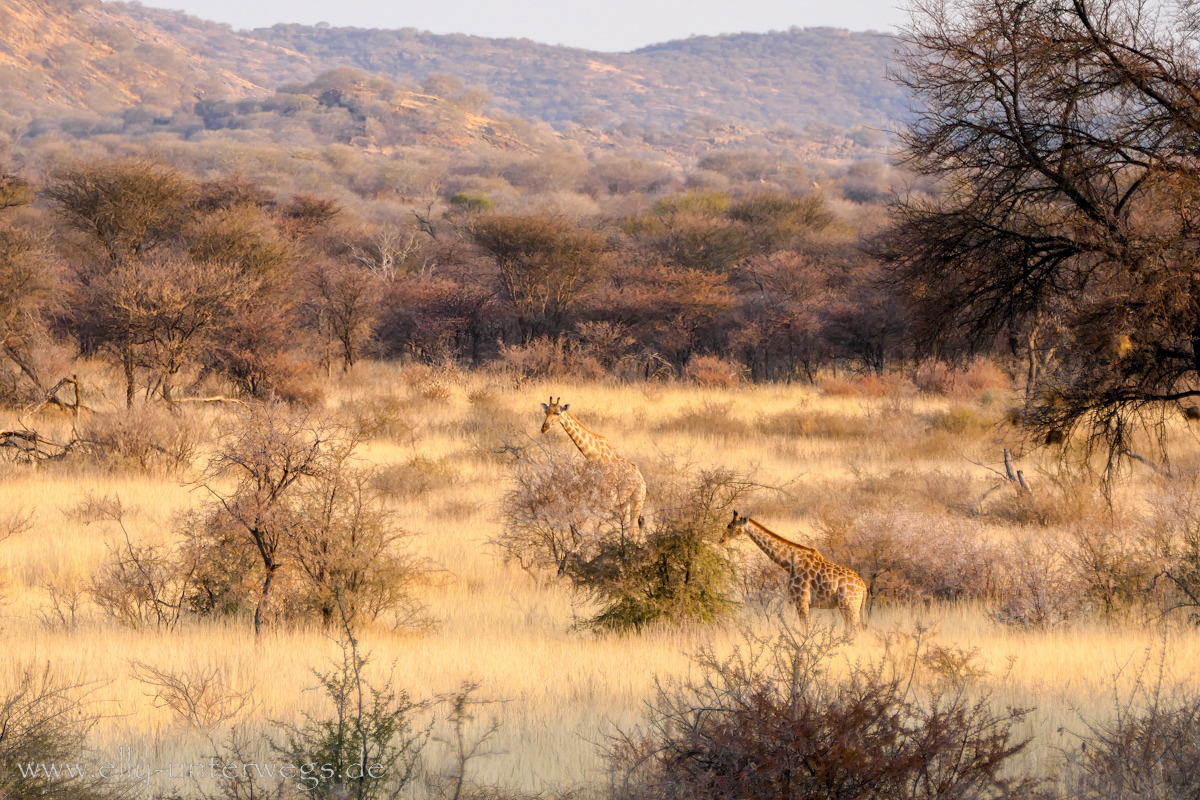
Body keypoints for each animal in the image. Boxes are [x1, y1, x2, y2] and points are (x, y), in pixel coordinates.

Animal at [542, 393, 648, 532]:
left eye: (558, 413)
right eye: (545, 412)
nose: (544, 428)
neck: (595, 456)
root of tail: (642, 479)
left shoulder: (608, 499)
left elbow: (598, 525)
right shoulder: (594, 497)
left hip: (638, 500)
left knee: (633, 530)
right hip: (624, 503)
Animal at [720, 510, 864, 633]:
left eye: (730, 526)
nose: (721, 540)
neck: (790, 563)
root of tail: (863, 587)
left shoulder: (801, 601)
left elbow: (806, 631)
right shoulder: (805, 604)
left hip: (849, 606)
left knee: (856, 630)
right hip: (847, 607)